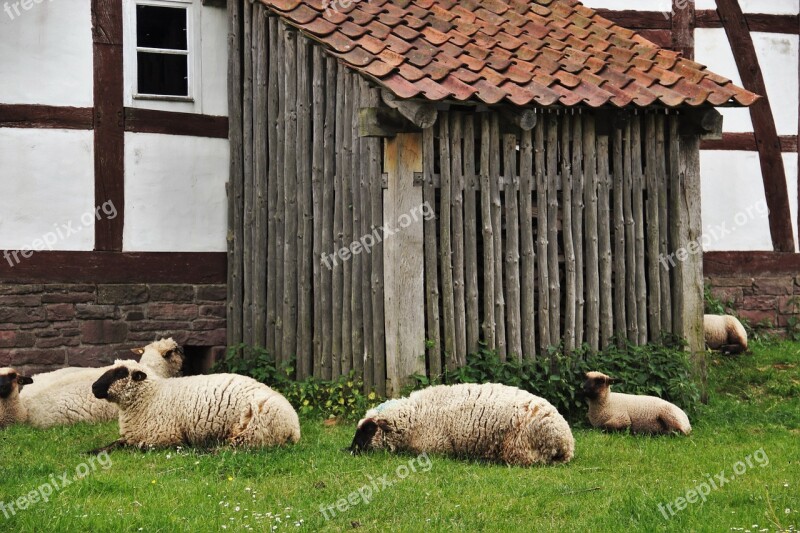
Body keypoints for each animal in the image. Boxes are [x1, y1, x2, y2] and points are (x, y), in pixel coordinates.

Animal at [88, 358, 300, 448]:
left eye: (120, 373)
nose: (93, 387)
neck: (151, 397)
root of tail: (295, 427)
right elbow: (112, 445)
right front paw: (90, 452)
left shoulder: (165, 437)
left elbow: (139, 447)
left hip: (252, 431)